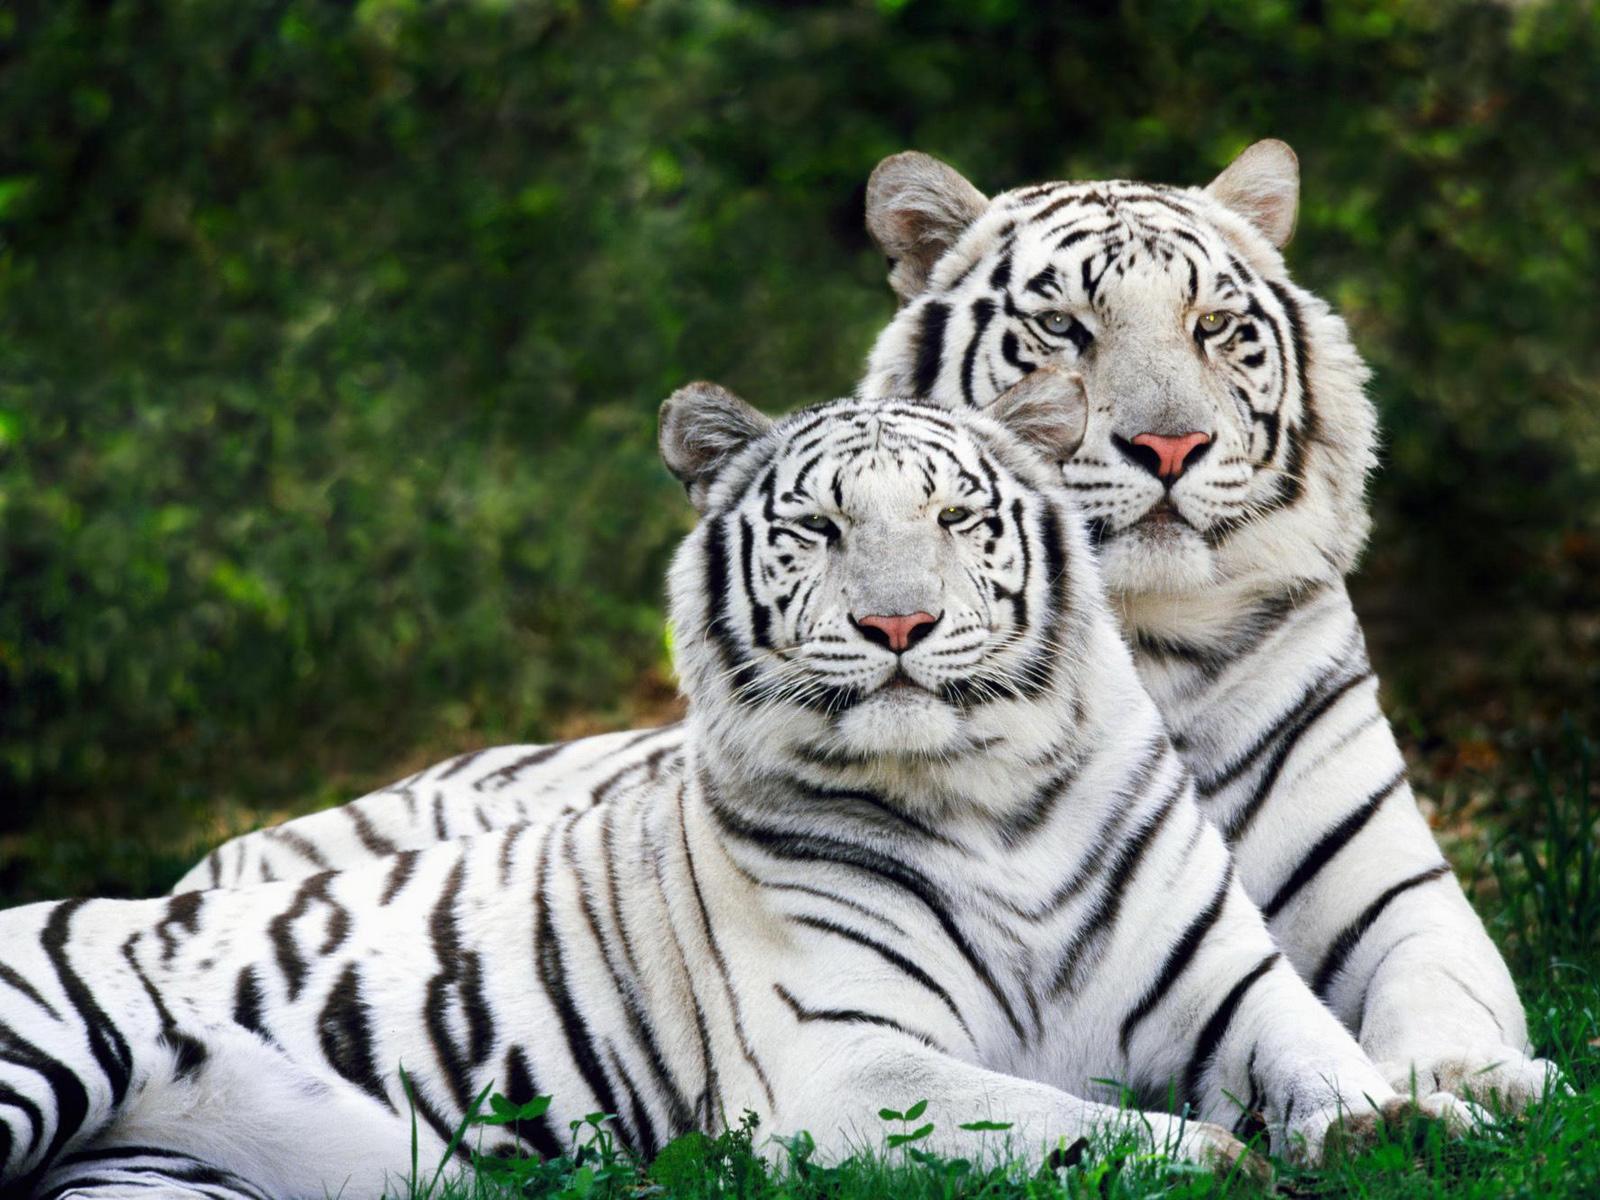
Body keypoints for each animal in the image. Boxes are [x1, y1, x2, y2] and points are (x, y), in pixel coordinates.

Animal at [1, 383, 1483, 1199]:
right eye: (818, 529)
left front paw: (1420, 1122)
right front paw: (1223, 1161)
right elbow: (1075, 1124)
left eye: (955, 519)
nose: (897, 626)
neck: (990, 799)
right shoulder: (844, 1066)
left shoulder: (1232, 990)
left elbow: (1327, 1061)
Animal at [175, 141, 1560, 1111]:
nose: (1168, 446)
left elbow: (1442, 989)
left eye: (1216, 327)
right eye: (1062, 328)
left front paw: (1476, 1083)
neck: (1147, 643)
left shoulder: (1394, 890)